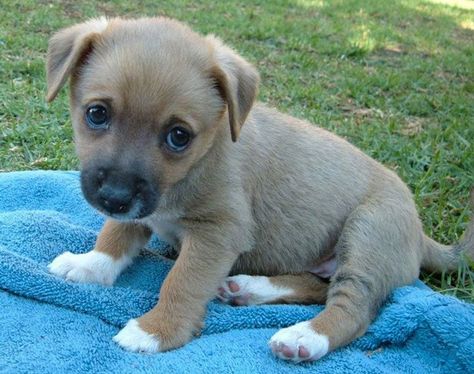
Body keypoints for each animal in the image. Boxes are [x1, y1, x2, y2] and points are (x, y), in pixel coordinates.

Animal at [45, 17, 474, 362]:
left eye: (178, 136)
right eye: (97, 114)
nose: (114, 198)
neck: (200, 161)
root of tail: (420, 233)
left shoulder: (218, 233)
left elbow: (181, 281)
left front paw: (157, 330)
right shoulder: (141, 209)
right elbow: (115, 235)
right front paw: (91, 264)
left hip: (368, 233)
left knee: (354, 309)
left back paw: (305, 336)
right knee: (318, 286)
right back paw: (250, 289)